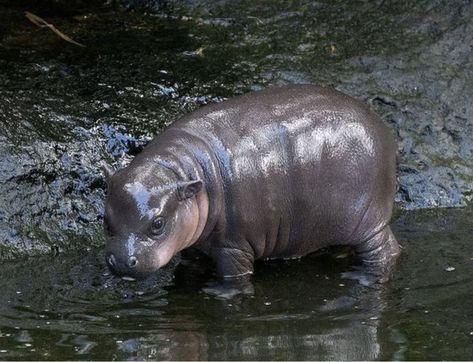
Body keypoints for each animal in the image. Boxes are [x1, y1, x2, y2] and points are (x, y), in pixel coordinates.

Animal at [102, 83, 398, 290]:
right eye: (105, 220)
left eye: (158, 224)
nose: (121, 261)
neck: (181, 169)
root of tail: (381, 126)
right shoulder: (194, 247)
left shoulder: (234, 246)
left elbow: (233, 277)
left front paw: (220, 292)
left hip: (368, 222)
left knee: (385, 251)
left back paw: (362, 276)